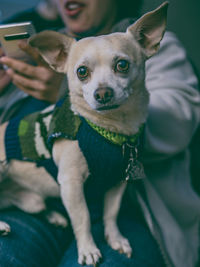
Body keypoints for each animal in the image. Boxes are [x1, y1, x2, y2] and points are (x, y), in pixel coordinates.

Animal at [0, 3, 167, 266]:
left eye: (122, 65)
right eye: (81, 72)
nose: (103, 93)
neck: (110, 129)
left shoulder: (117, 181)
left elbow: (111, 213)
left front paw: (115, 239)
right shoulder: (71, 184)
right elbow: (83, 218)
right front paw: (88, 249)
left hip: (32, 201)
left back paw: (55, 216)